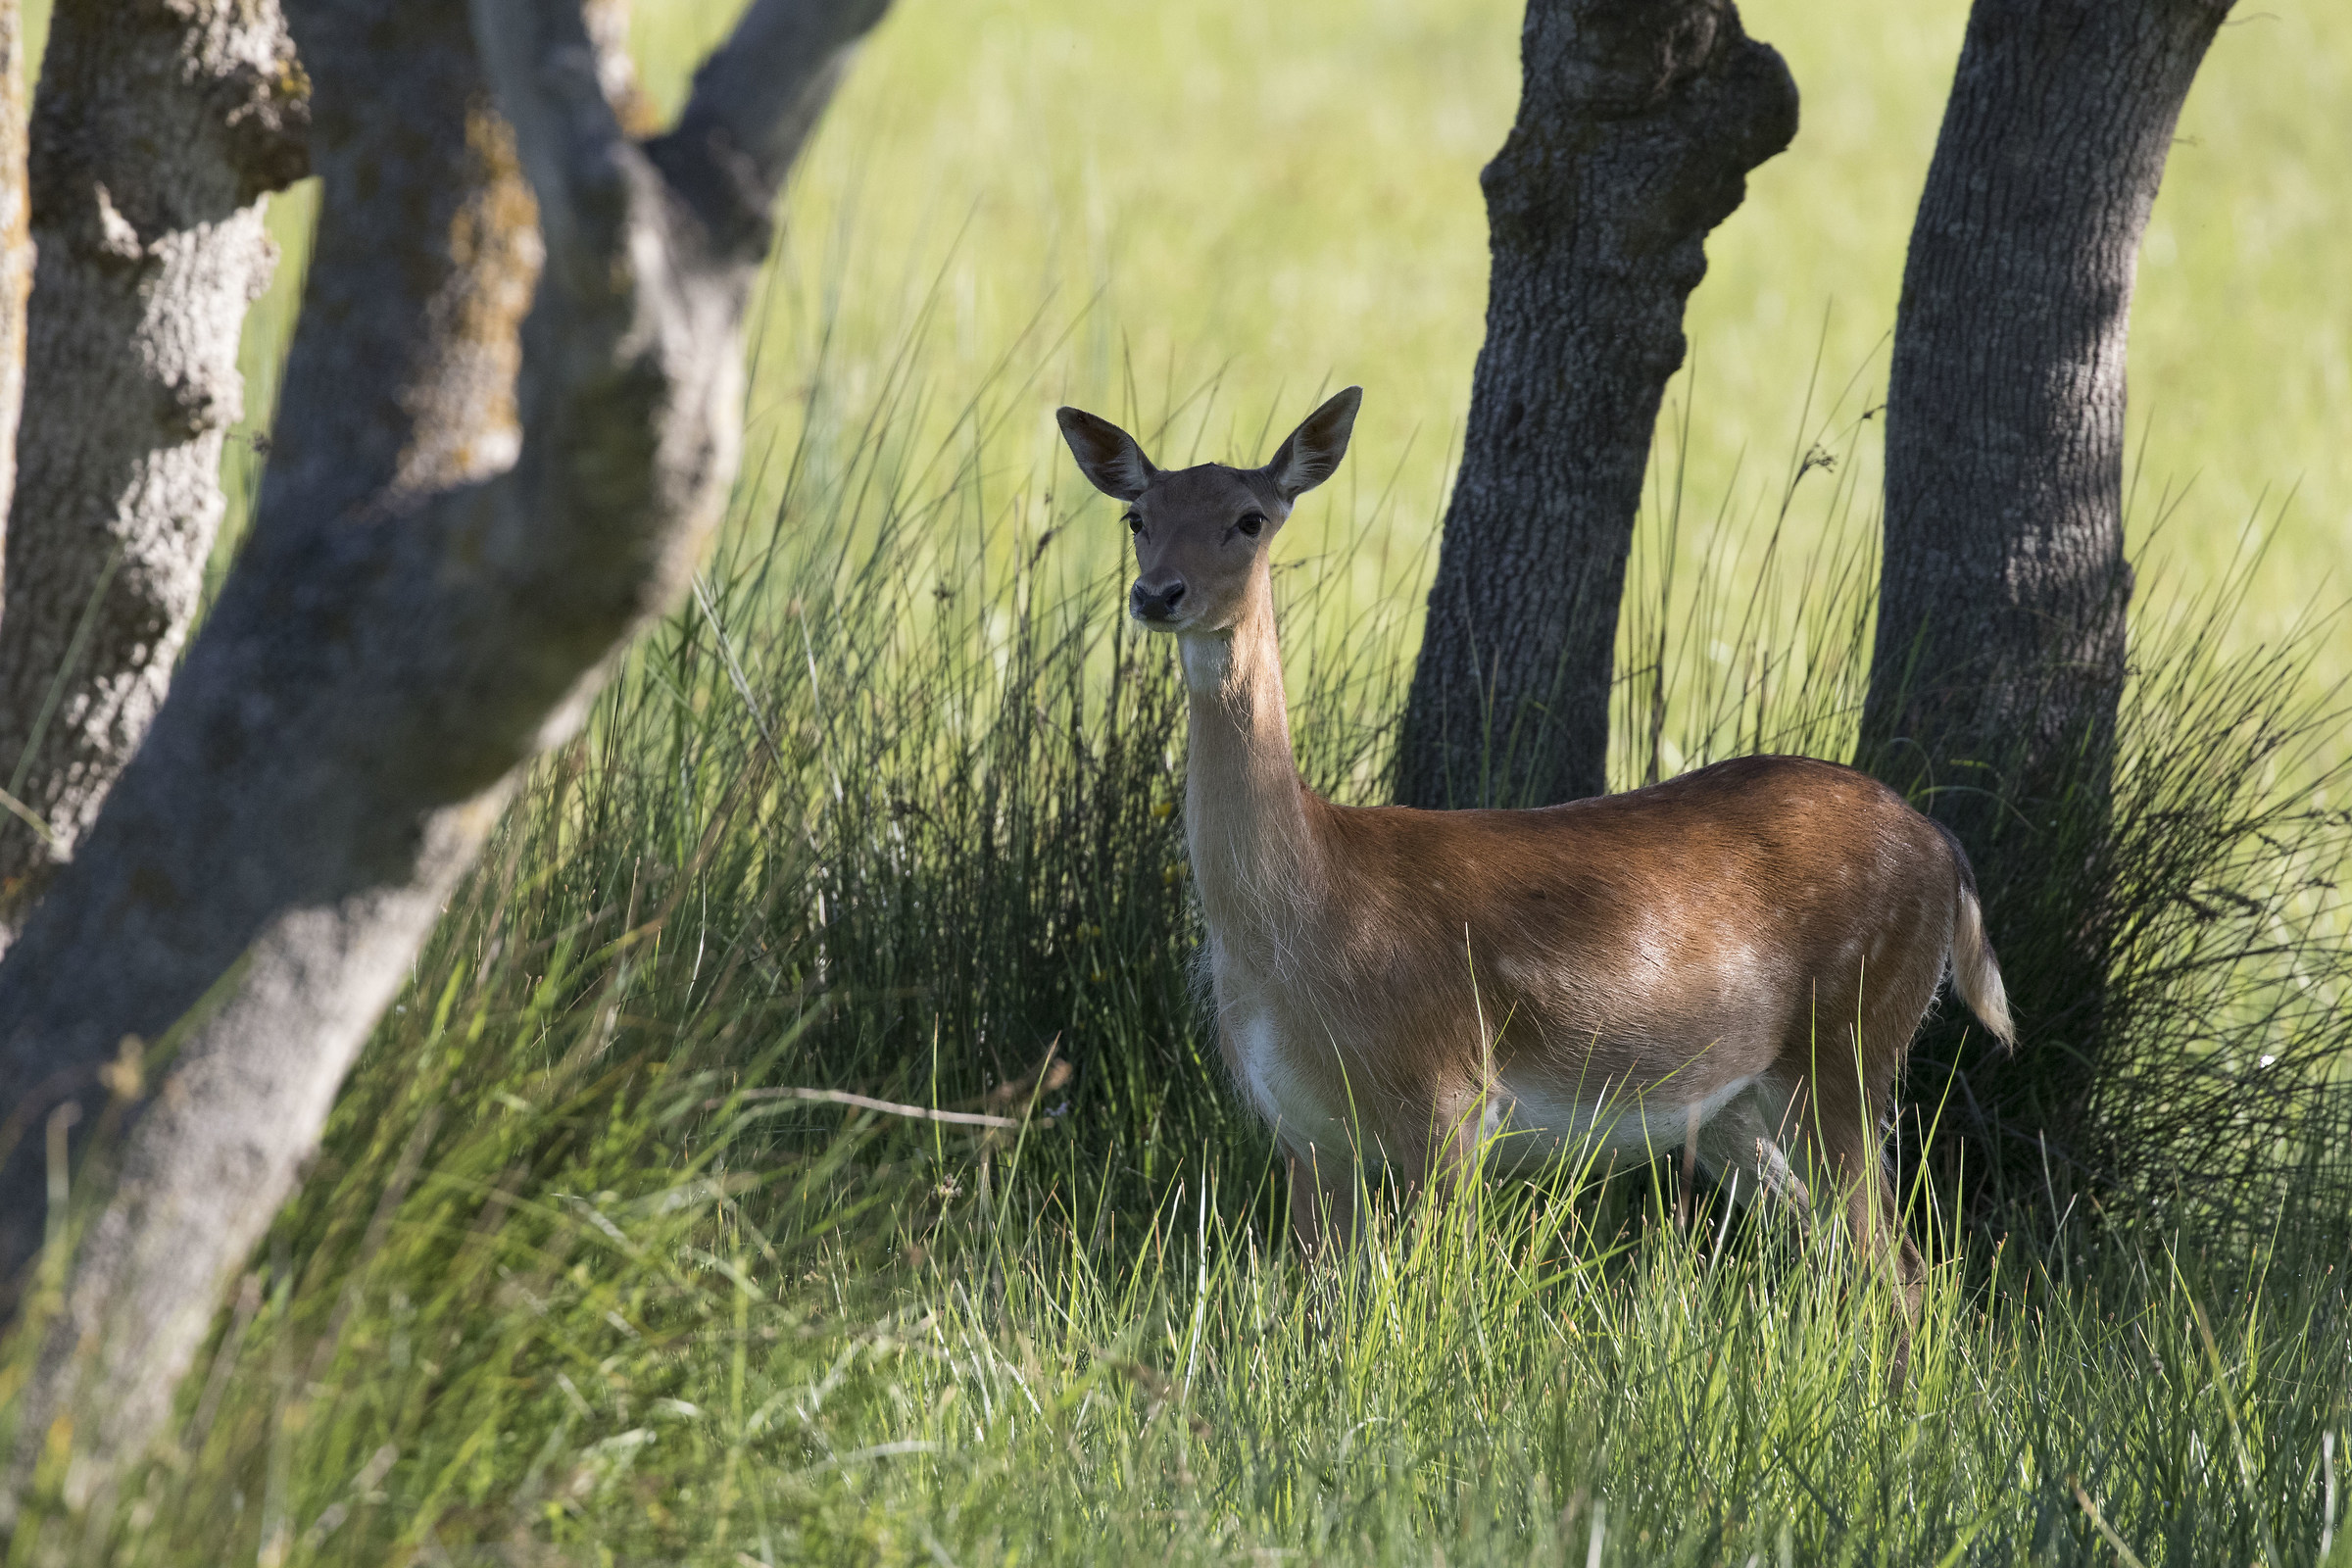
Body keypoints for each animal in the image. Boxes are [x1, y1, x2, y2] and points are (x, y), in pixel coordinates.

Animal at [1054, 386, 2015, 1311]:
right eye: (1137, 516)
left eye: (1250, 517)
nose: (1158, 594)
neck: (1310, 915)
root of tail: (1946, 850)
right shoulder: (1301, 1131)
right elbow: (1317, 1307)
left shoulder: (1448, 1095)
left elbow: (1428, 1302)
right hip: (1739, 1105)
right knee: (1839, 1251)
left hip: (1852, 1040)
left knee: (1900, 1265)